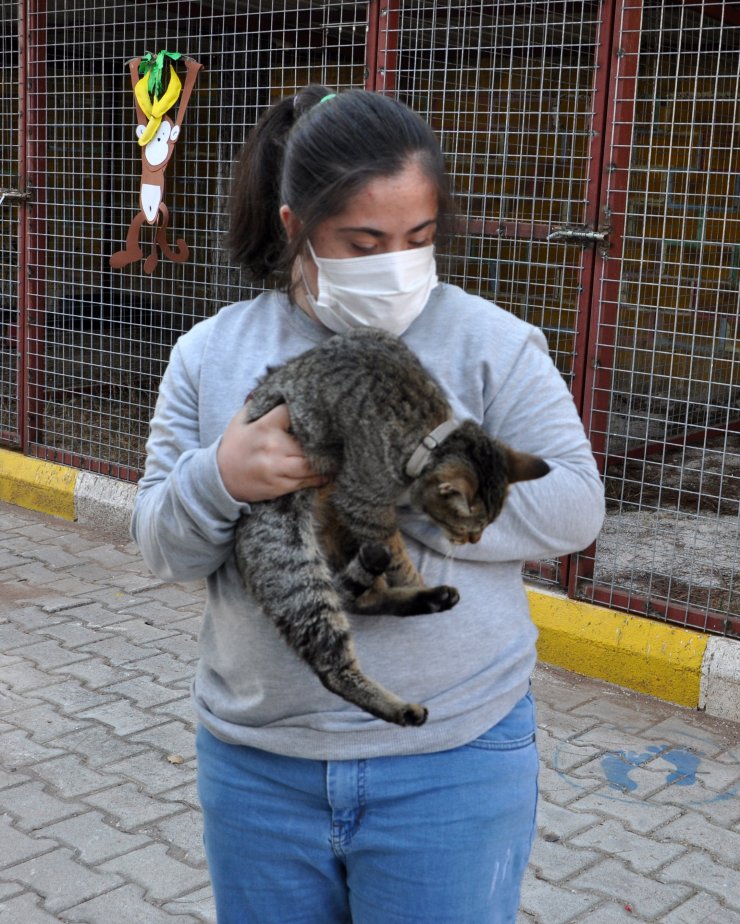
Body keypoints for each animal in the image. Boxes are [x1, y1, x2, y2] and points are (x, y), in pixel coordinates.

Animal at [234, 328, 548, 724]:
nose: (475, 540)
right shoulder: (363, 502)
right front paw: (414, 580)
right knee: (332, 663)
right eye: (468, 527)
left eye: (489, 525)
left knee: (359, 599)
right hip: (294, 561)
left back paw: (428, 600)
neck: (428, 432)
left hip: (340, 535)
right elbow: (399, 557)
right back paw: (401, 707)